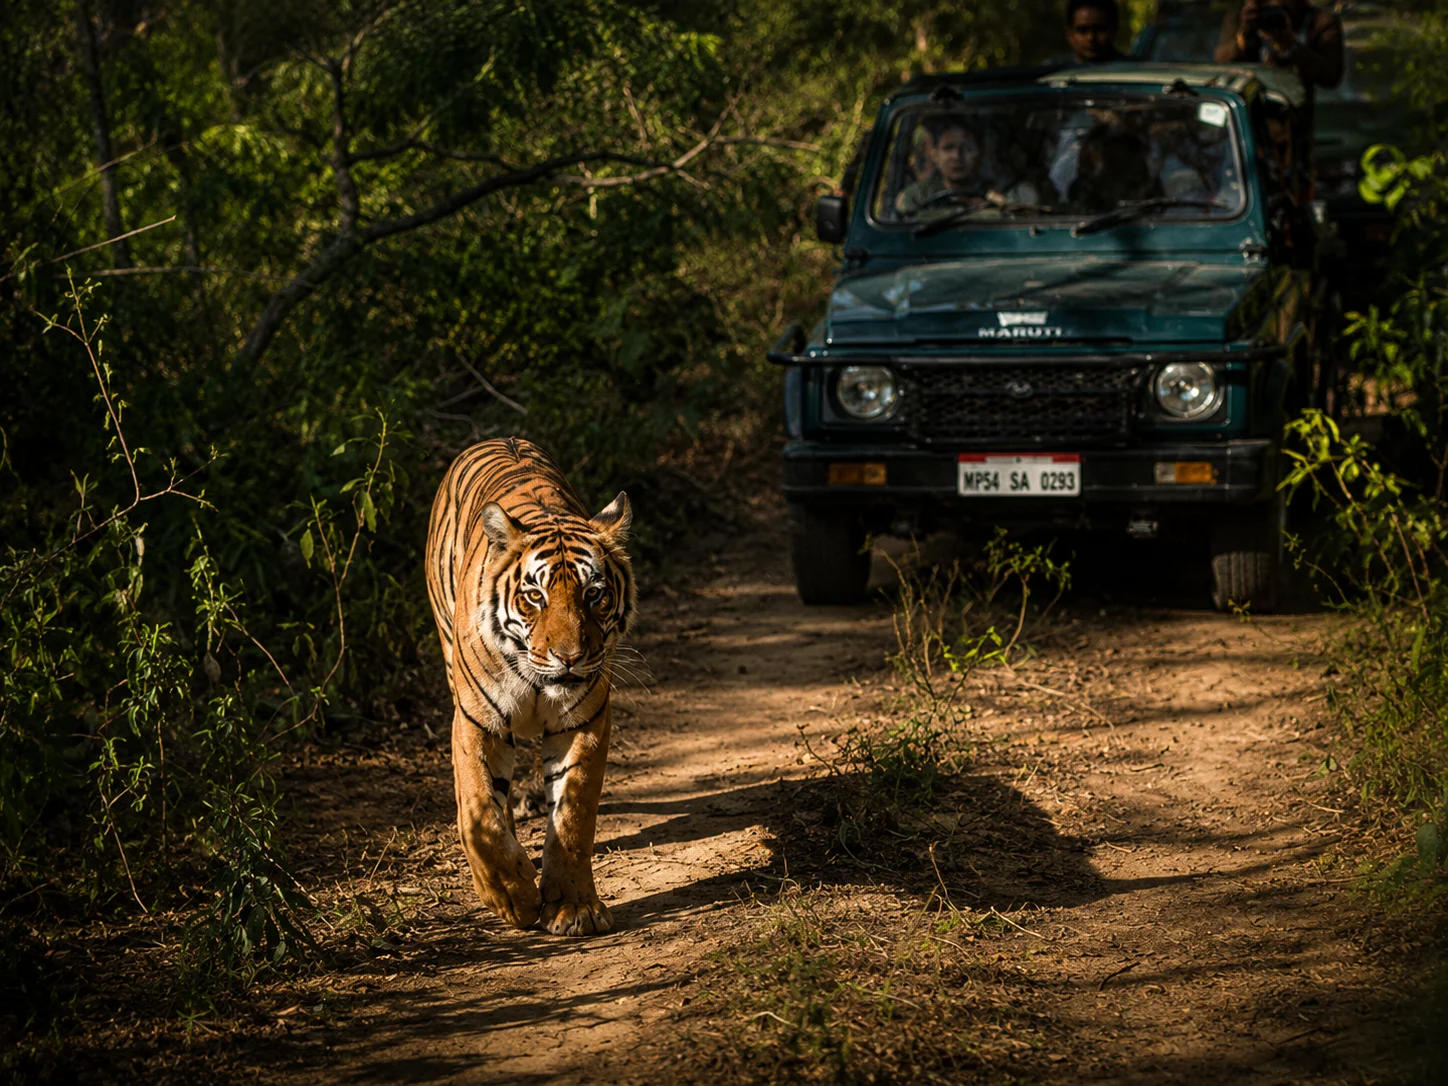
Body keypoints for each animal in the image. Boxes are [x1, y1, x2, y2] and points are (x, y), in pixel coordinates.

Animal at [425, 437, 635, 936]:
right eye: (535, 596)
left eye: (594, 594)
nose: (569, 657)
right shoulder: (475, 720)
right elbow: (479, 813)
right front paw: (512, 898)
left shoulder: (584, 722)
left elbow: (573, 816)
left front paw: (574, 907)